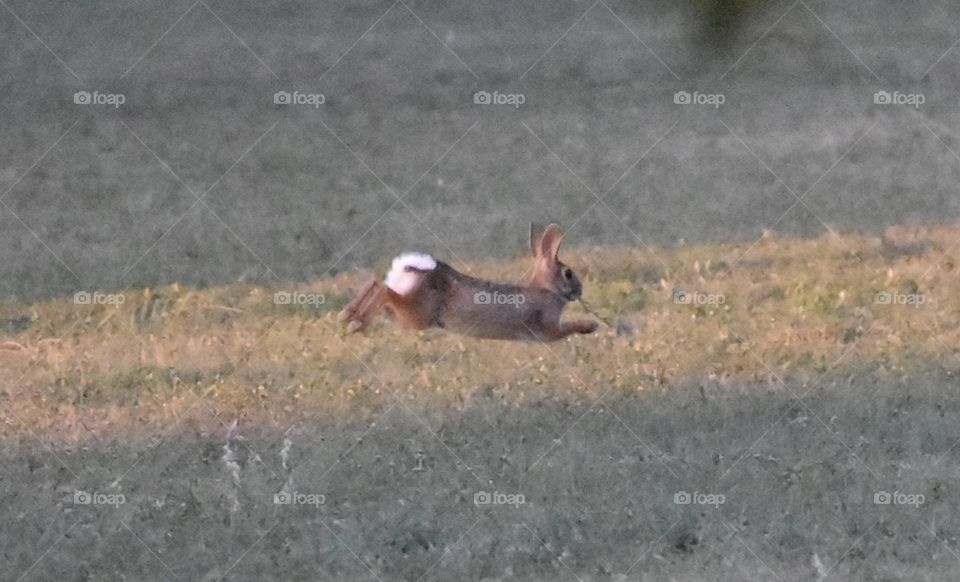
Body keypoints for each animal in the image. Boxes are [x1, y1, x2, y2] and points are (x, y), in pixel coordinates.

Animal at [337, 224, 598, 342]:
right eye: (568, 273)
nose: (580, 290)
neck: (547, 289)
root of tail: (414, 269)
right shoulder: (548, 329)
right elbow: (566, 329)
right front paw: (590, 326)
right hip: (416, 316)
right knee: (383, 291)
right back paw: (353, 323)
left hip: (401, 314)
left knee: (376, 284)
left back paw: (348, 317)